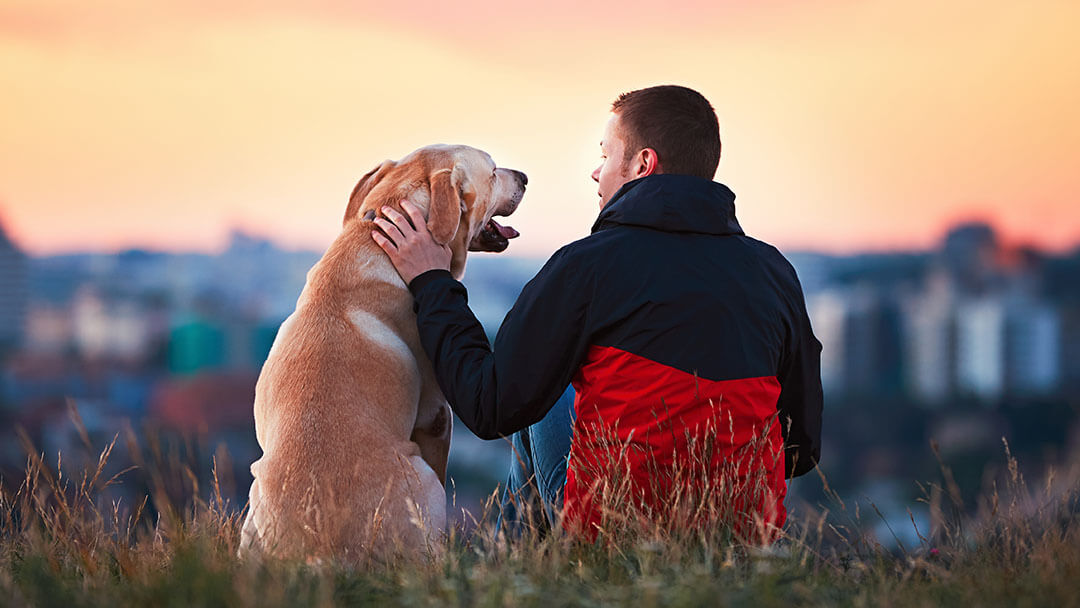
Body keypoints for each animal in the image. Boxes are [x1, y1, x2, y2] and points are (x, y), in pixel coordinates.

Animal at [244, 144, 527, 565]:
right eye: (493, 172)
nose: (524, 177)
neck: (375, 239)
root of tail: (319, 553)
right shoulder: (437, 415)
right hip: (422, 481)